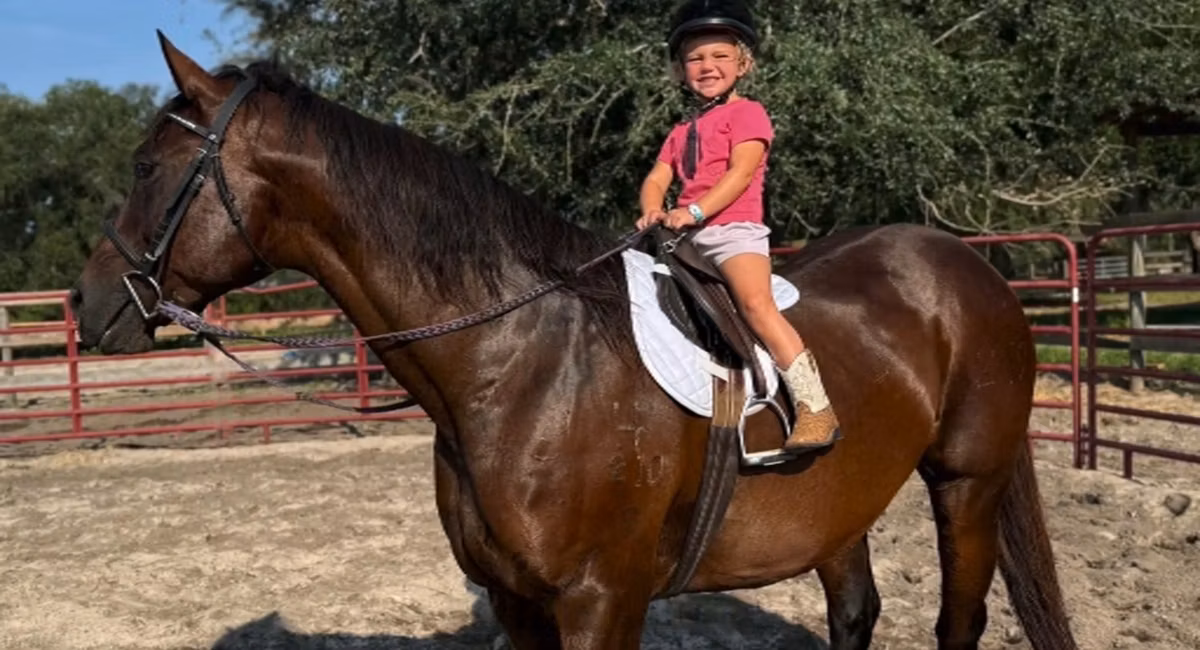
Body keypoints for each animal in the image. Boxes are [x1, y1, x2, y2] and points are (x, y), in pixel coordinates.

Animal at [70, 34, 1077, 650]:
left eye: (148, 166)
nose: (88, 303)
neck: (519, 363)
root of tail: (967, 265)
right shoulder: (520, 604)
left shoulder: (601, 601)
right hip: (844, 504)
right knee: (857, 611)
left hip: (968, 483)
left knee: (957, 621)